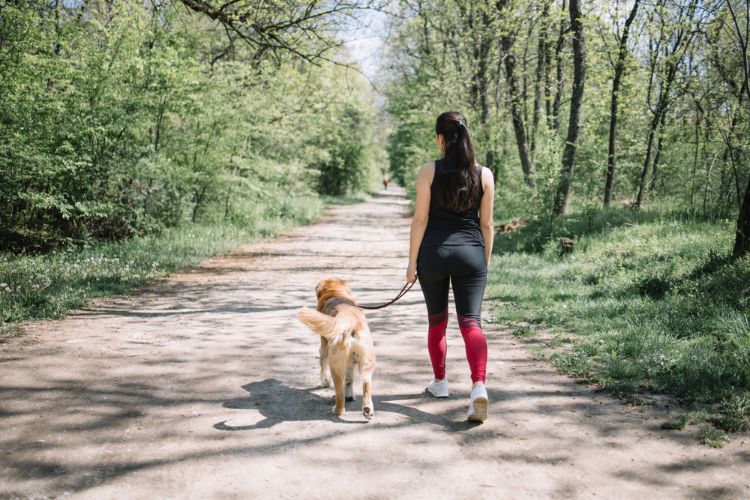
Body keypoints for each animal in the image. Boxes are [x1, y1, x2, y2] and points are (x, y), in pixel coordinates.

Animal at [298, 278, 376, 418]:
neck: (335, 292)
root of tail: (350, 320)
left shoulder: (324, 345)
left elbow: (322, 365)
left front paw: (324, 382)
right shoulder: (350, 360)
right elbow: (349, 379)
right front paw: (350, 395)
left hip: (335, 364)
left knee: (340, 394)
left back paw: (337, 410)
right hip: (366, 363)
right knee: (366, 385)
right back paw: (367, 408)